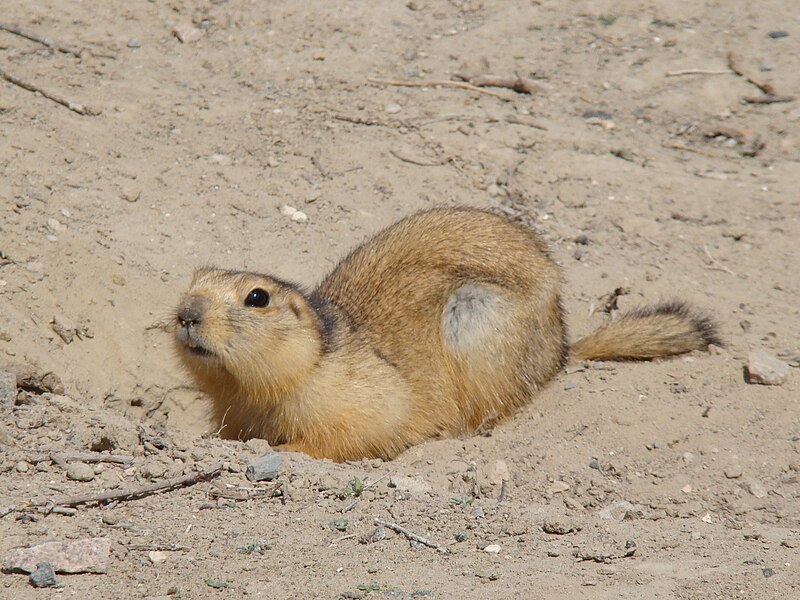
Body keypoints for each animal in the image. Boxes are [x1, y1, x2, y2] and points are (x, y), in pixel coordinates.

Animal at [173, 206, 720, 460]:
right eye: (193, 279)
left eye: (257, 298)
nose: (186, 313)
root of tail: (561, 346)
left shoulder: (353, 391)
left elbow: (364, 425)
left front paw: (284, 451)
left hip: (479, 323)